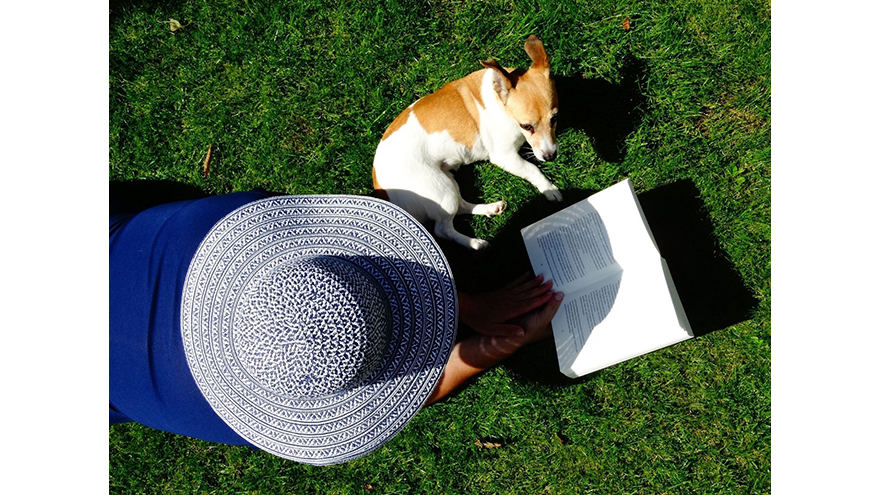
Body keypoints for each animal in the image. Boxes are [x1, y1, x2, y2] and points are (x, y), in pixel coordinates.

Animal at [372, 35, 564, 250]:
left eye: (555, 118)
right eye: (527, 126)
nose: (551, 156)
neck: (499, 102)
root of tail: (380, 187)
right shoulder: (505, 157)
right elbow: (533, 169)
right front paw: (549, 189)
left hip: (447, 181)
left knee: (461, 206)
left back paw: (490, 208)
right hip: (439, 189)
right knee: (443, 229)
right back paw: (475, 243)